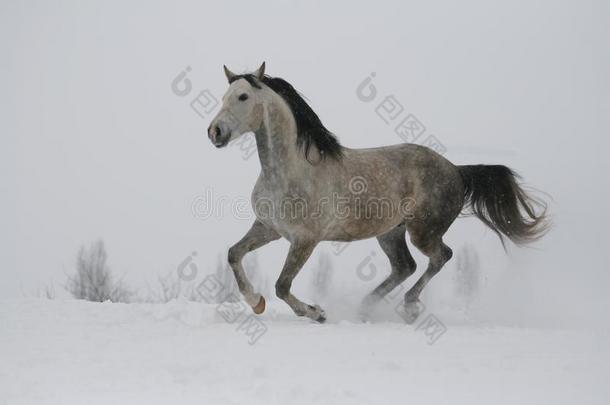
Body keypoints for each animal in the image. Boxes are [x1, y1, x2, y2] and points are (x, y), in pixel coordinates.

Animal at [207, 62, 544, 322]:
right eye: (223, 96)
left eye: (243, 96)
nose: (215, 132)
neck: (290, 171)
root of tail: (457, 170)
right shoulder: (269, 228)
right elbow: (234, 254)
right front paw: (256, 302)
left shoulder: (305, 240)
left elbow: (282, 285)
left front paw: (317, 313)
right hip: (390, 232)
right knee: (405, 266)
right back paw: (365, 308)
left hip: (423, 231)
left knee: (440, 257)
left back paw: (408, 306)